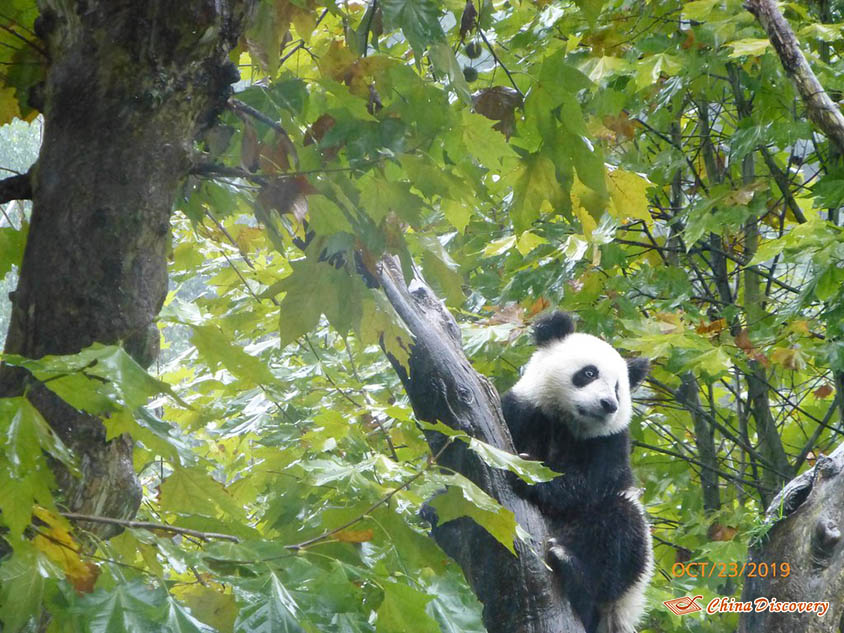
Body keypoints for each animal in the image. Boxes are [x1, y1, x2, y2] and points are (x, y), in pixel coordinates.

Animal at [502, 312, 652, 632]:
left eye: (618, 387)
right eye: (589, 373)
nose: (609, 404)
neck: (567, 422)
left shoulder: (609, 444)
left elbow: (589, 486)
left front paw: (527, 475)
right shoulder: (523, 411)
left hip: (628, 573)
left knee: (619, 528)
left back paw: (571, 566)